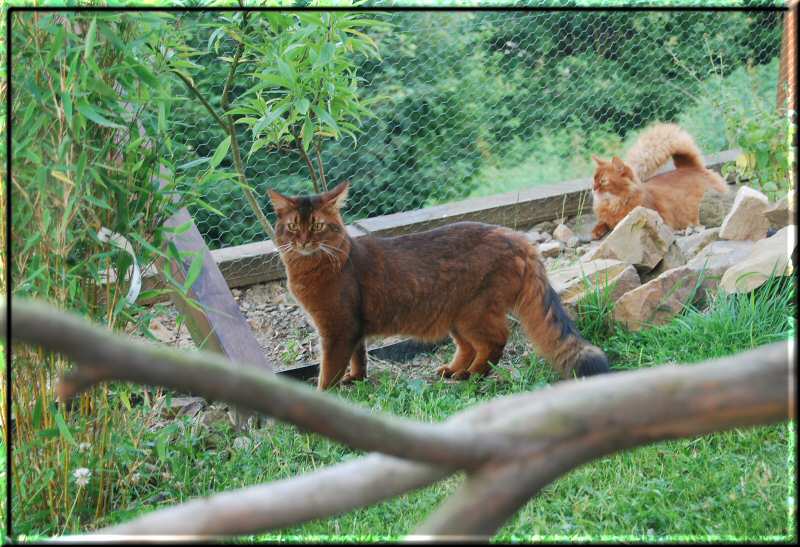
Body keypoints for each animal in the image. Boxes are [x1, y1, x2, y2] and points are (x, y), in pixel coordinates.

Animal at [268, 183, 608, 390]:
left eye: (317, 226)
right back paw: (454, 370)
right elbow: (358, 357)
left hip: (475, 312)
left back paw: (473, 374)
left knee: (496, 340)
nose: (303, 241)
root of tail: (516, 238)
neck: (312, 269)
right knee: (470, 346)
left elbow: (328, 371)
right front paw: (356, 378)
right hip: (455, 314)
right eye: (294, 226)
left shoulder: (338, 328)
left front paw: (324, 396)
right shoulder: (353, 329)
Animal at [592, 124, 728, 240]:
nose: (593, 188)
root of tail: (689, 167)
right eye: (594, 179)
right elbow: (602, 223)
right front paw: (596, 231)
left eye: (603, 181)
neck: (615, 203)